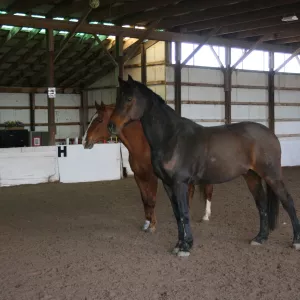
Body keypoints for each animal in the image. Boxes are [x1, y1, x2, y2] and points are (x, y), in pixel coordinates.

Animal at [81, 101, 214, 232]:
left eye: (99, 120)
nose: (84, 141)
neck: (143, 146)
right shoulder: (138, 176)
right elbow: (145, 199)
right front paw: (146, 223)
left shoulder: (152, 177)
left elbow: (151, 199)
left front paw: (153, 225)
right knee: (190, 190)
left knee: (207, 190)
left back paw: (205, 216)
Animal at [109, 74, 300, 255]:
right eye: (117, 98)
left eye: (129, 98)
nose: (111, 126)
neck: (171, 138)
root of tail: (271, 134)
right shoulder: (168, 185)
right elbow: (177, 215)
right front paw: (179, 245)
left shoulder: (180, 183)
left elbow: (184, 213)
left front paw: (186, 247)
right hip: (252, 177)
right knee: (261, 205)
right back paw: (260, 238)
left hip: (272, 176)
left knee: (288, 202)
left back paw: (296, 241)